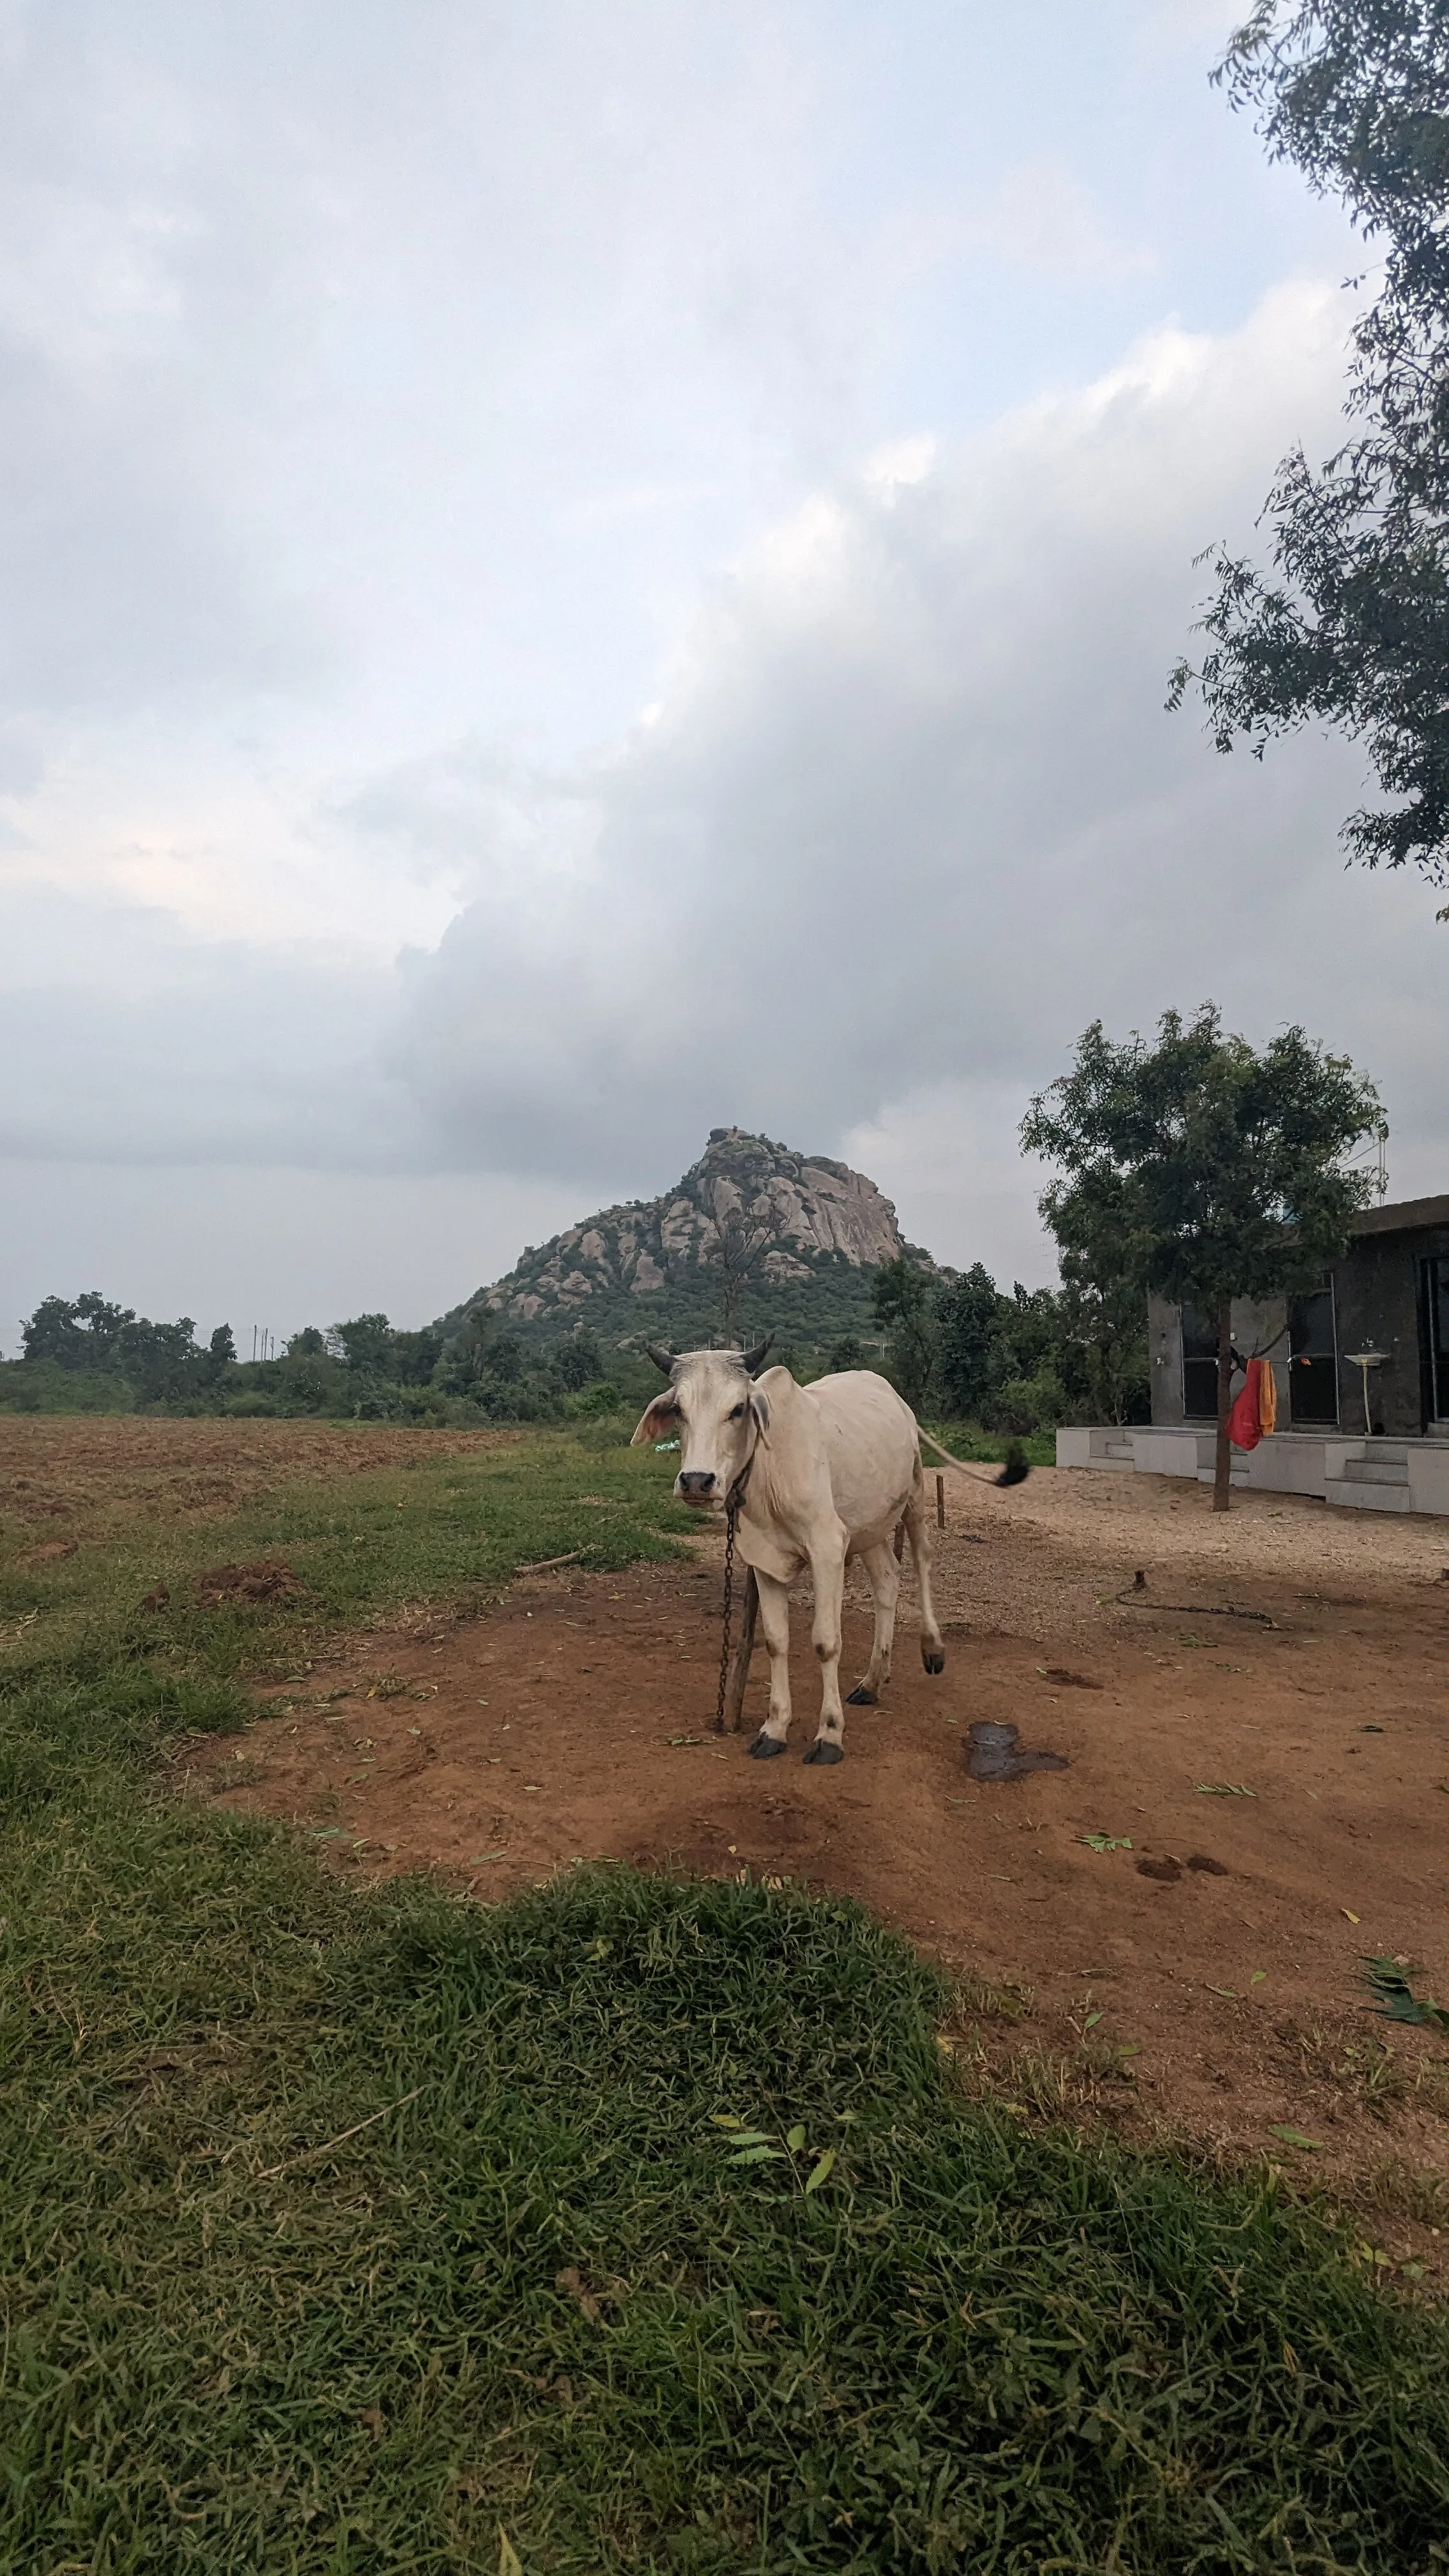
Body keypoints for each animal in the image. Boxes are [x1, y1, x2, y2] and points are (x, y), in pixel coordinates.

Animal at [631, 1338, 974, 1764]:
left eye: (738, 1409)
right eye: (679, 1409)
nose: (696, 1482)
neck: (769, 1469)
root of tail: (892, 1394)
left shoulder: (827, 1547)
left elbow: (826, 1643)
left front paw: (829, 1735)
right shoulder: (763, 1560)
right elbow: (777, 1642)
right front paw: (774, 1729)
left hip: (914, 1495)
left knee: (922, 1560)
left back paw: (932, 1649)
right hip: (868, 1526)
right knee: (888, 1580)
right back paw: (873, 1681)